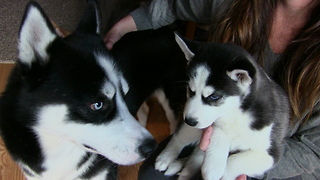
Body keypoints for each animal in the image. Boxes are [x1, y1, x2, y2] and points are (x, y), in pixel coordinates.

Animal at [0, 0, 188, 179]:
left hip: (171, 98)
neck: (58, 148)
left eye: (124, 93)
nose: (151, 148)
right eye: (97, 105)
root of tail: (167, 28)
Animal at [155, 34, 290, 180]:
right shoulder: (212, 122)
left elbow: (234, 161)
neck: (237, 113)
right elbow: (218, 131)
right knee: (179, 137)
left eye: (214, 97)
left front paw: (218, 171)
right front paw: (213, 165)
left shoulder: (270, 154)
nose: (189, 121)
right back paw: (165, 157)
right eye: (191, 90)